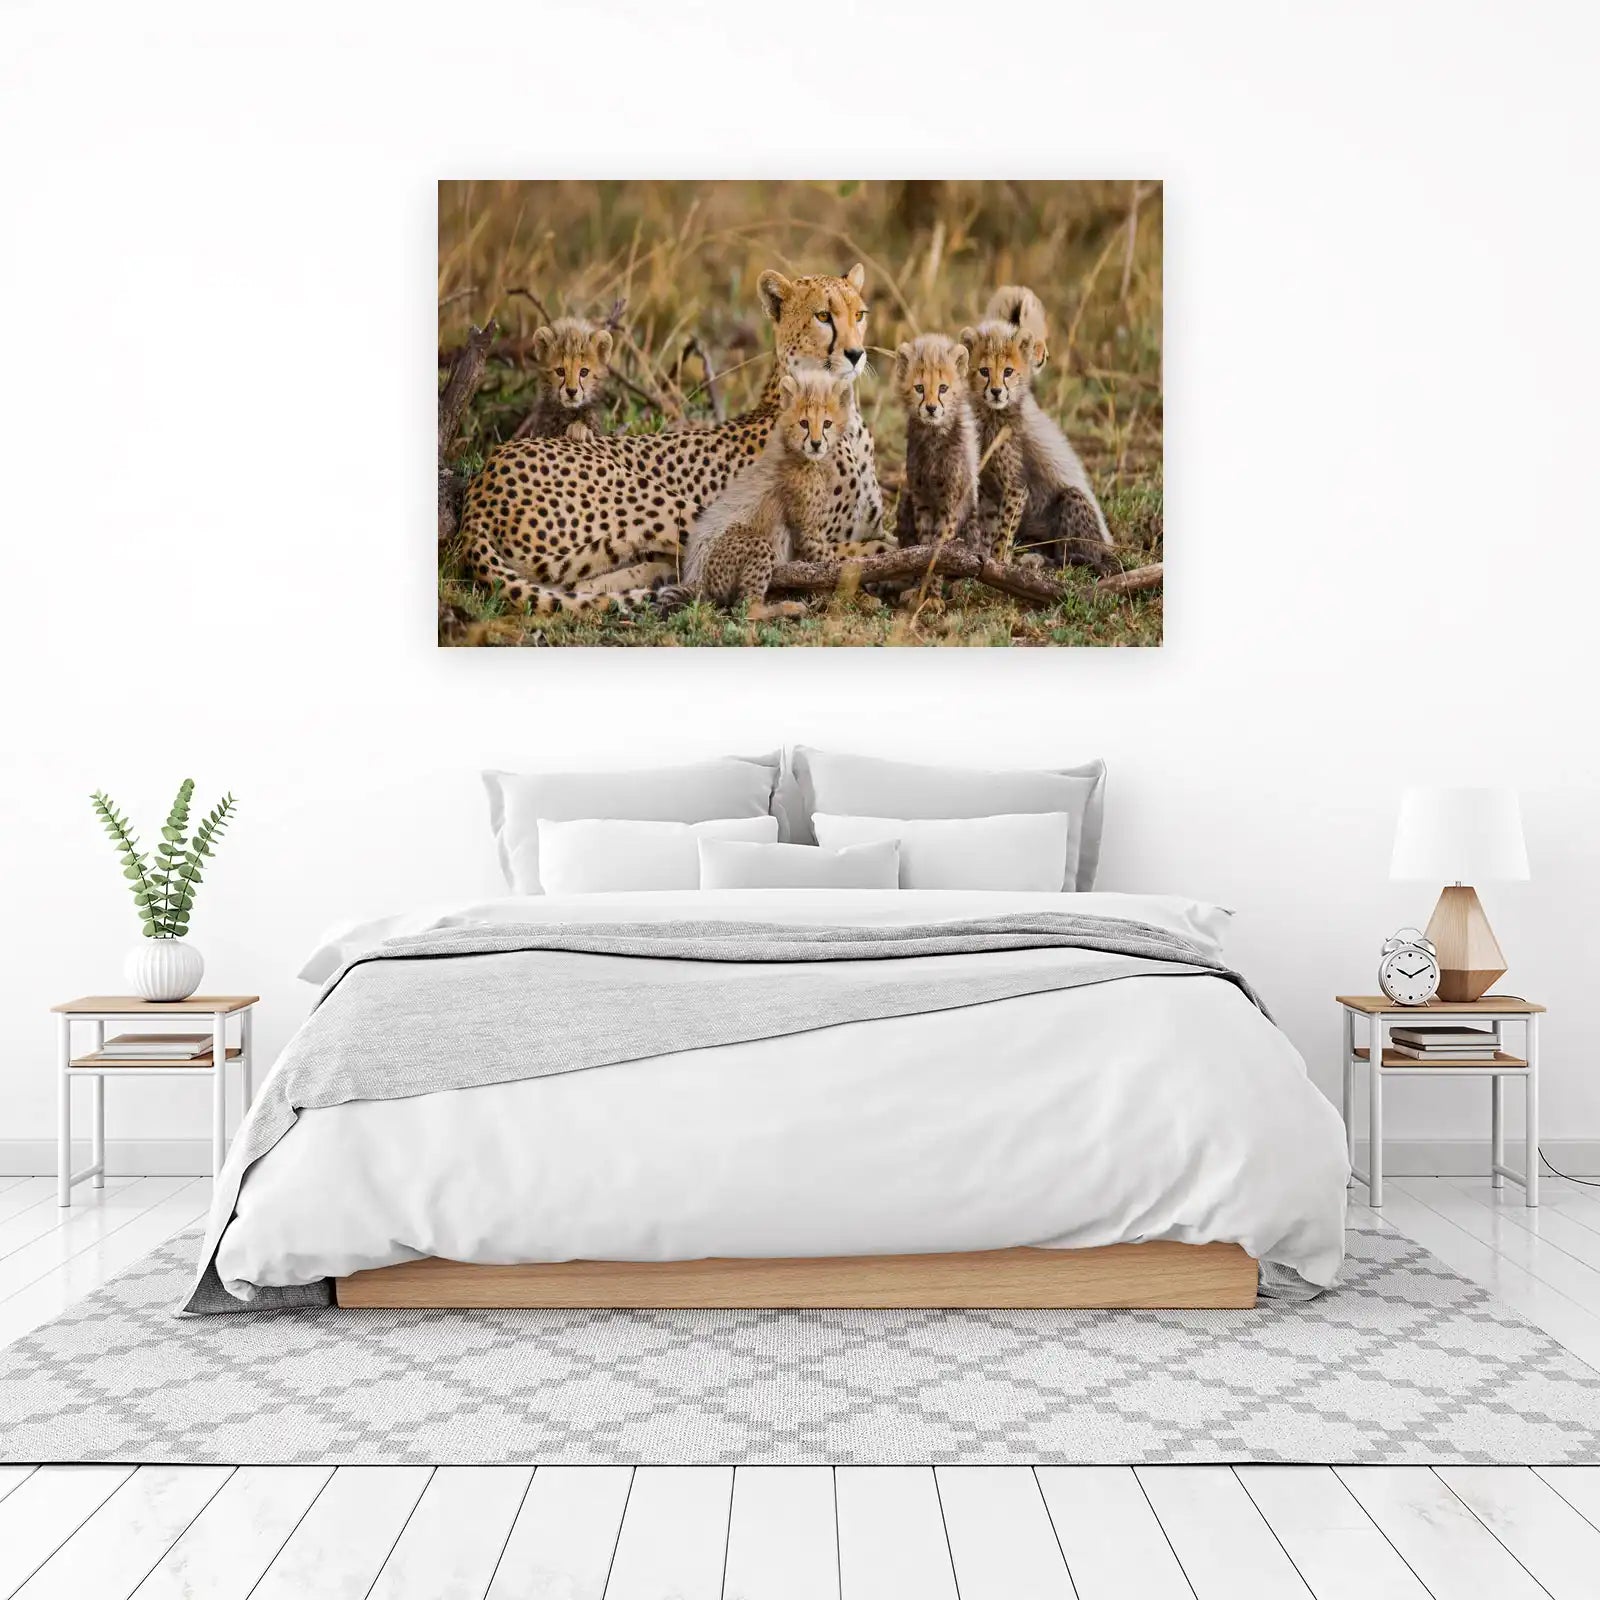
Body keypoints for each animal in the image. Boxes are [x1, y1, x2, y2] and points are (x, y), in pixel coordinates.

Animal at [458, 265, 885, 616]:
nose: (856, 354)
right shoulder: (813, 536)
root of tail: (481, 483)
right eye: (823, 316)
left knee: (579, 584)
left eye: (859, 315)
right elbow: (867, 549)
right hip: (668, 504)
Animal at [891, 333, 979, 551]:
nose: (931, 408)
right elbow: (924, 530)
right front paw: (923, 550)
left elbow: (944, 530)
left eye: (943, 388)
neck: (933, 435)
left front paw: (936, 552)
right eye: (919, 388)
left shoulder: (951, 499)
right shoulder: (920, 494)